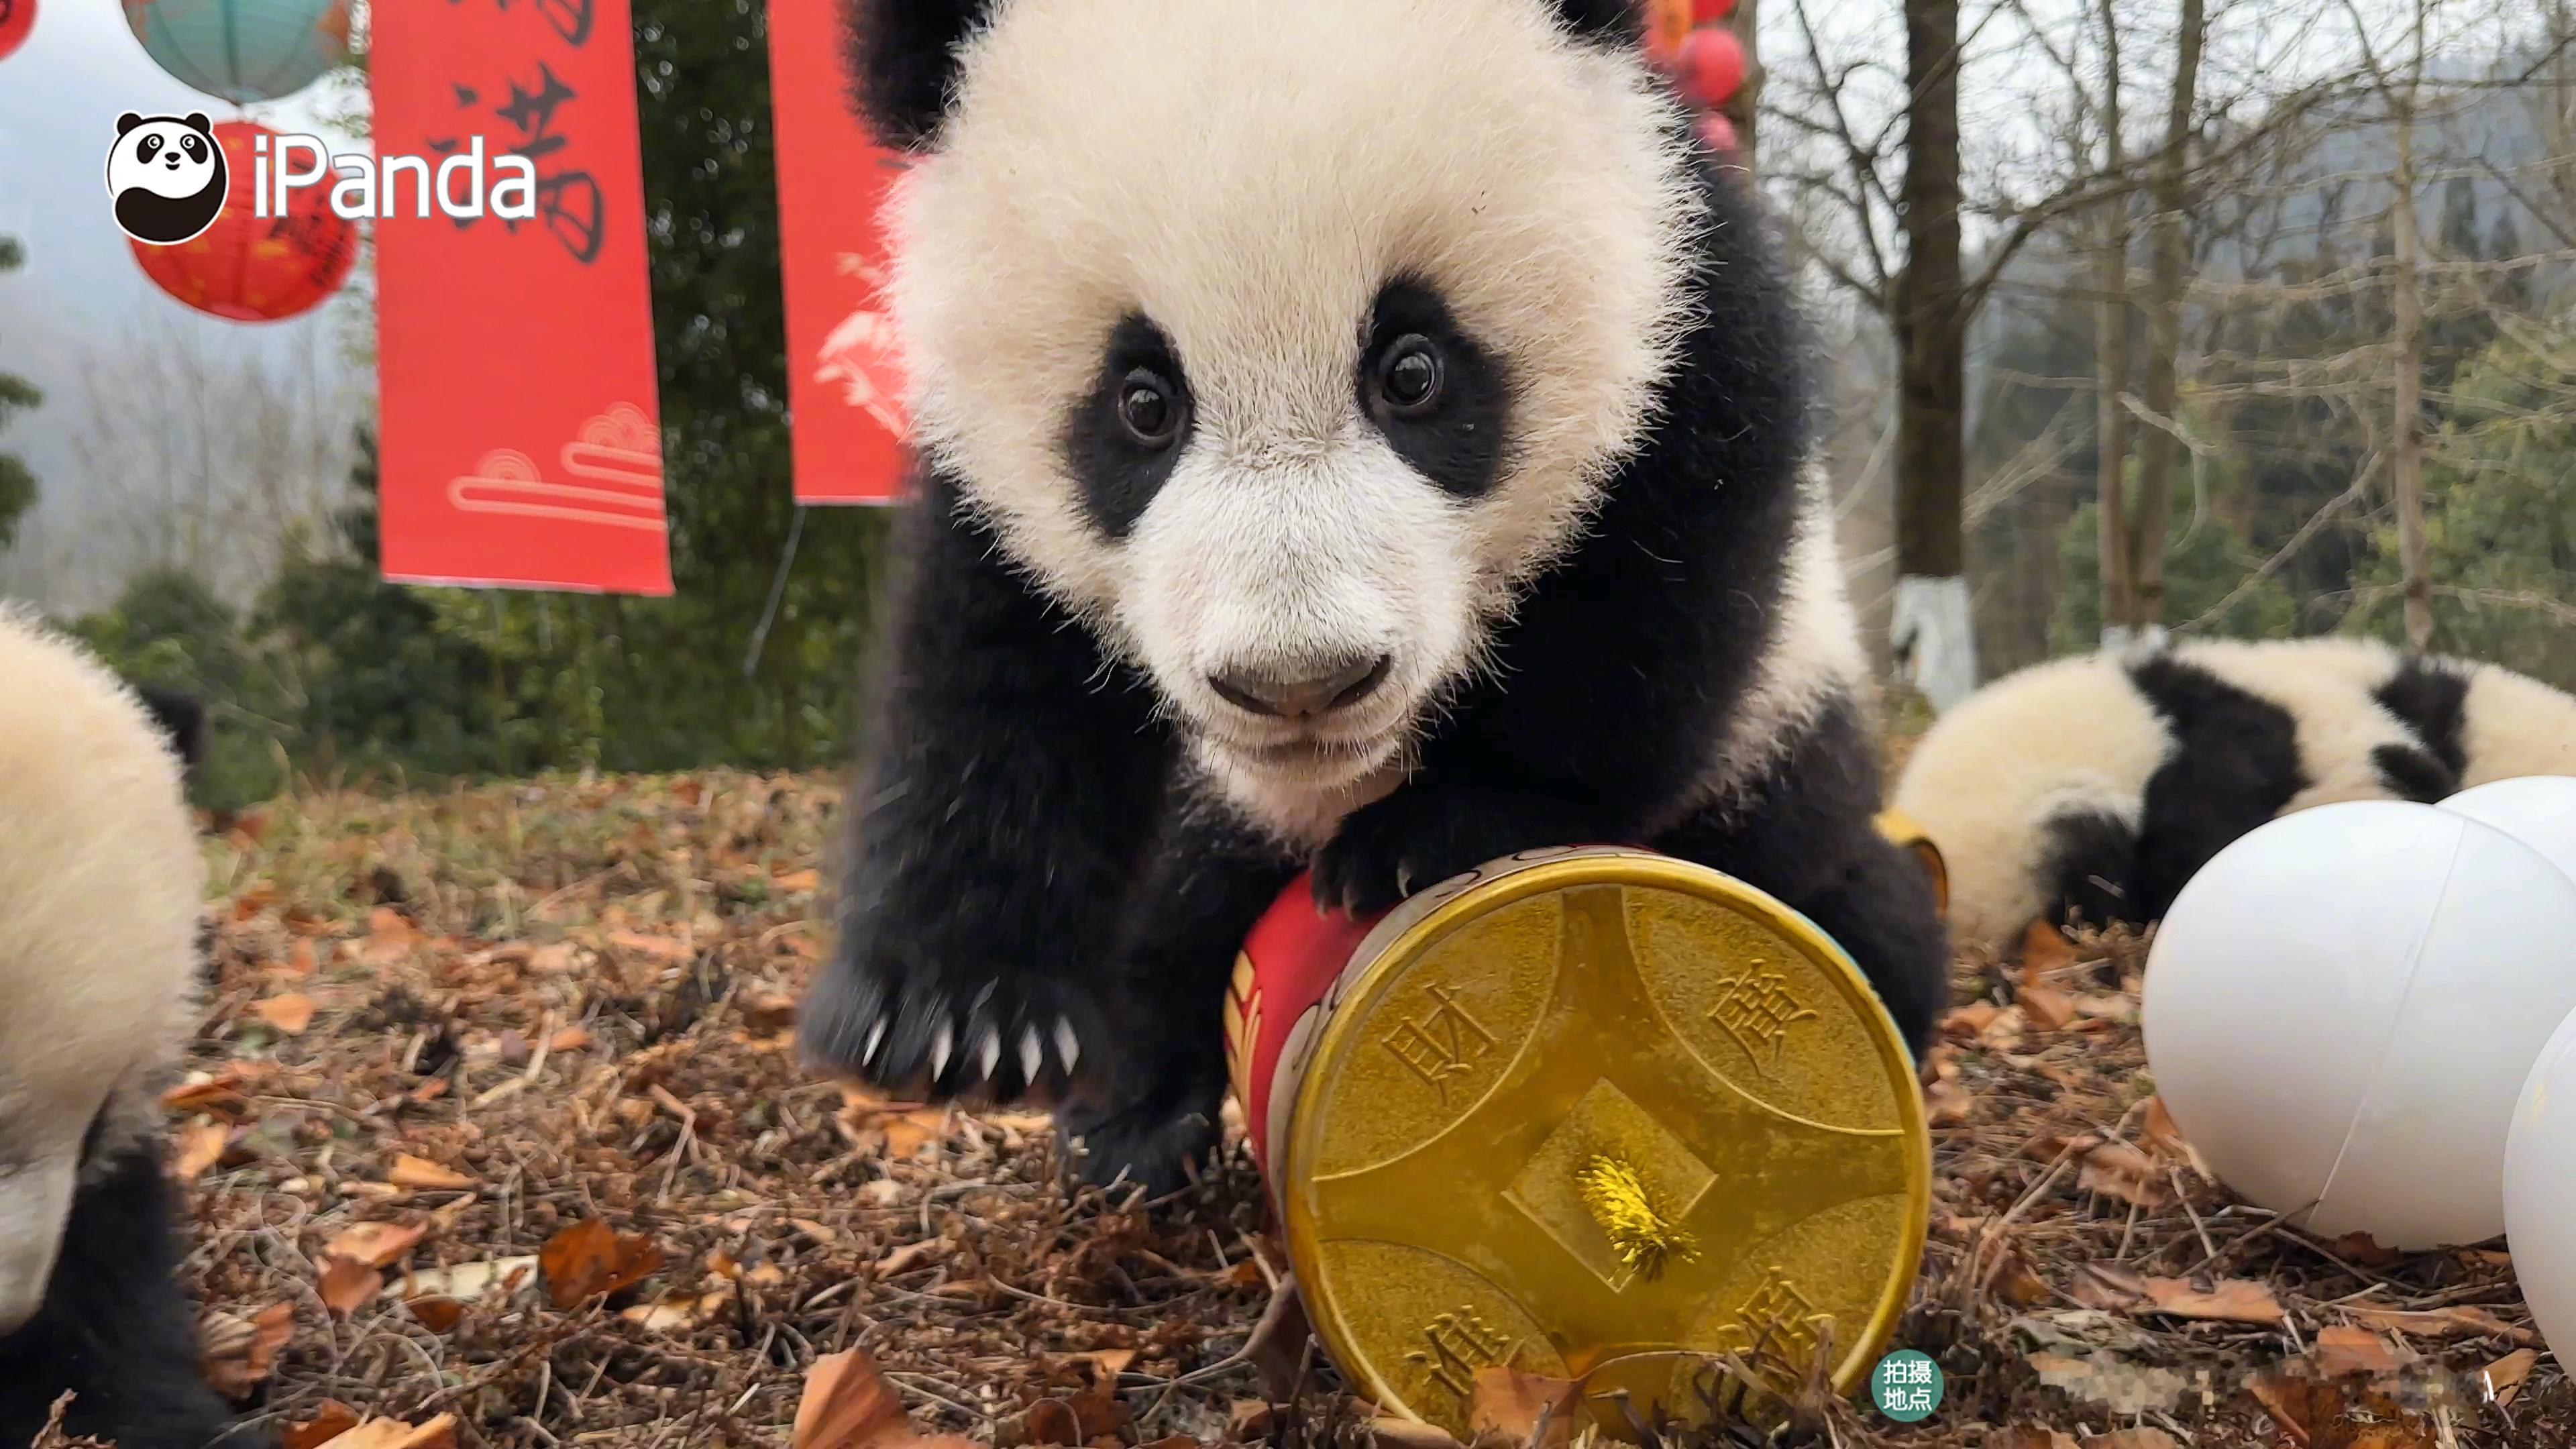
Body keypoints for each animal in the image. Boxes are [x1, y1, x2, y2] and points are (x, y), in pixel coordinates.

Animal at [793, 0, 1937, 1185]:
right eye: (1142, 402)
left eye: (1412, 370)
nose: (1300, 683)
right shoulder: (984, 475)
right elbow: (991, 670)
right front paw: (959, 1015)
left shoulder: (1682, 302)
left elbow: (1656, 604)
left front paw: (1445, 828)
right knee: (1179, 905)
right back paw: (1136, 1114)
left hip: (1784, 738)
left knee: (1836, 878)